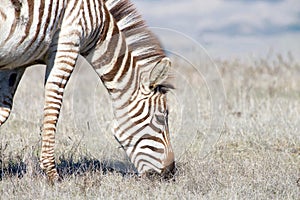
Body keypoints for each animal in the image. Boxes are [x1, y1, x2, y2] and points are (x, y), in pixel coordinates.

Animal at [0, 0, 176, 181]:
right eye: (161, 117)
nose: (170, 171)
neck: (101, 22)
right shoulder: (67, 44)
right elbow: (53, 106)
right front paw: (52, 175)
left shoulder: (17, 59)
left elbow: (4, 110)